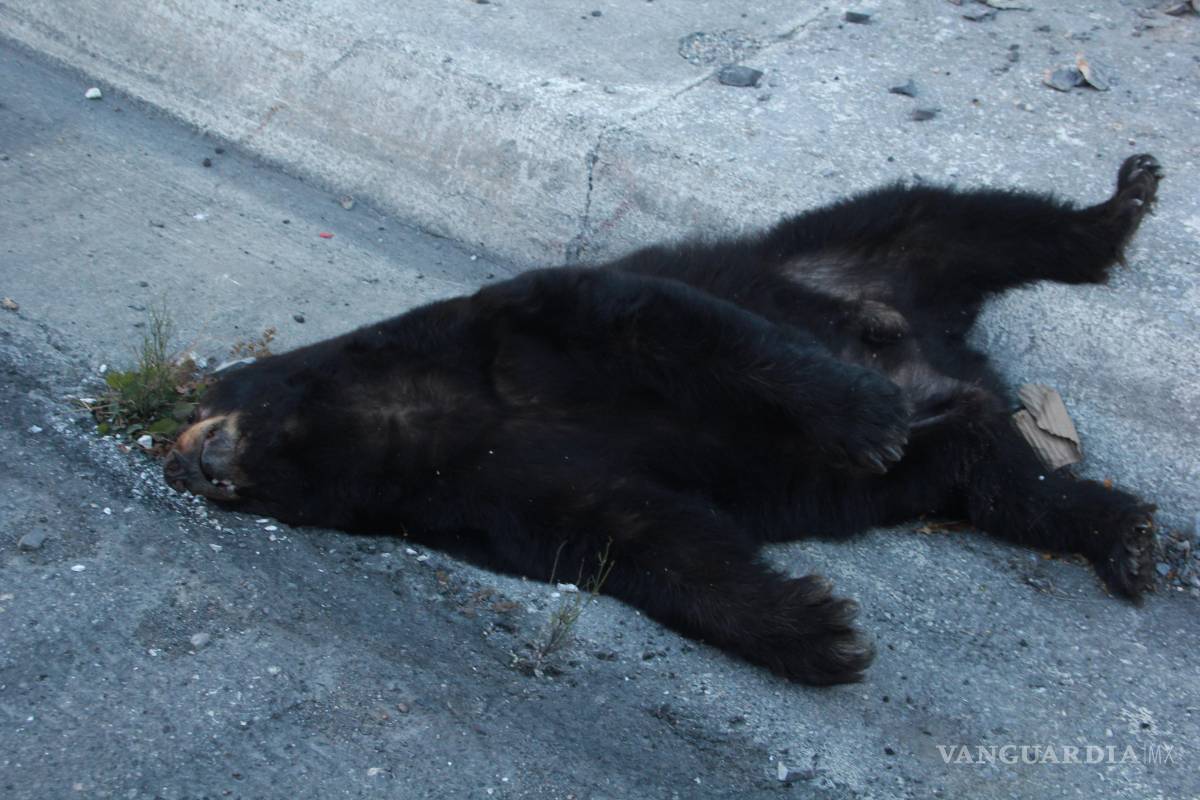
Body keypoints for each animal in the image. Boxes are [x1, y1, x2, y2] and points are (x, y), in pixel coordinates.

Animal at [164, 154, 1163, 686]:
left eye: (198, 403)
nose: (183, 465)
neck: (406, 414)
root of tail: (952, 357)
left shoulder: (513, 329)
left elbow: (664, 326)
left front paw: (862, 414)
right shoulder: (480, 494)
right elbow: (638, 538)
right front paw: (818, 630)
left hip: (837, 251)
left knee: (960, 218)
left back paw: (1119, 206)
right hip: (951, 447)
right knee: (1006, 484)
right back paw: (1119, 531)